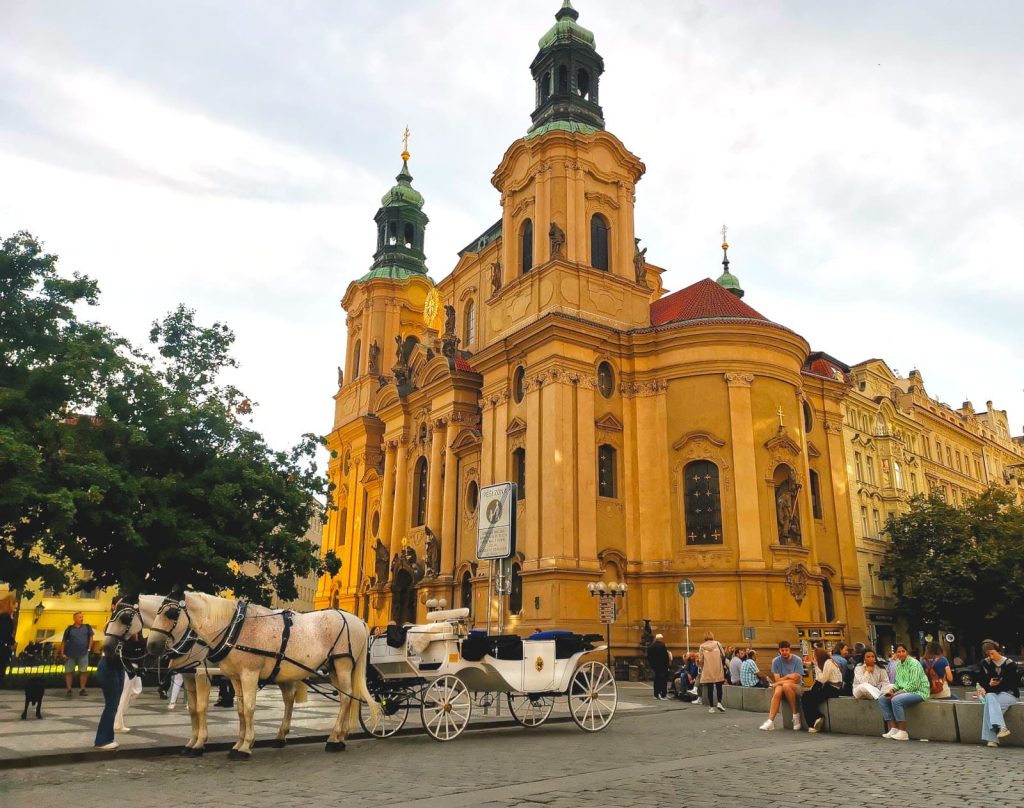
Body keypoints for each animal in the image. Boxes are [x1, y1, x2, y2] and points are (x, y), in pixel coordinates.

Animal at [101, 593, 305, 753]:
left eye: (124, 618)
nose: (107, 647)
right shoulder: (188, 673)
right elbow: (193, 708)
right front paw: (192, 741)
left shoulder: (201, 673)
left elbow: (201, 707)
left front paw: (200, 743)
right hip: (283, 673)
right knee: (288, 700)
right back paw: (281, 735)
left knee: (288, 700)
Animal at [146, 593, 378, 757]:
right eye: (157, 612)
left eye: (170, 614)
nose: (151, 645)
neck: (233, 628)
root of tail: (358, 620)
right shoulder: (234, 677)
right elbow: (239, 709)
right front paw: (238, 743)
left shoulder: (244, 674)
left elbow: (246, 708)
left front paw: (244, 745)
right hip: (332, 668)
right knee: (340, 698)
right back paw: (339, 737)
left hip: (343, 665)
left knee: (346, 698)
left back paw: (333, 739)